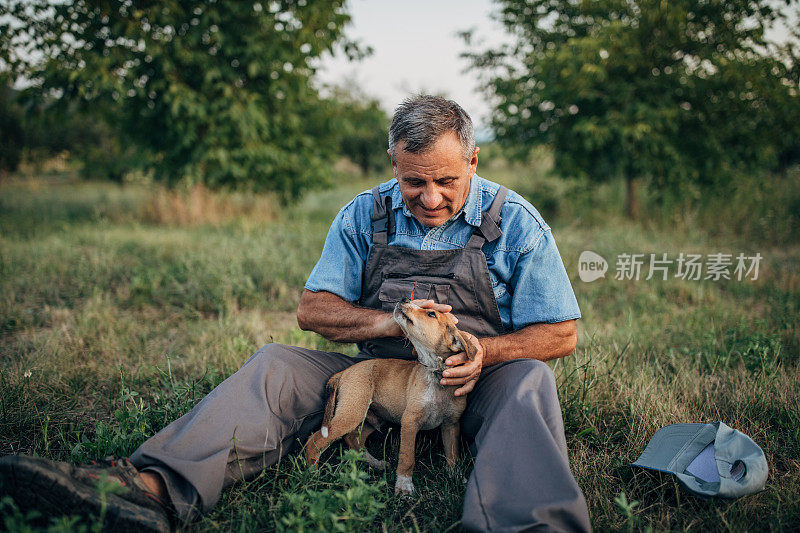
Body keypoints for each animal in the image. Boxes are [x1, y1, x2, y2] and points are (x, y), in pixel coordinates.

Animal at [306, 300, 476, 494]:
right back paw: (312, 476)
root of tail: (344, 372)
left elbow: (453, 454)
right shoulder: (410, 421)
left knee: (354, 439)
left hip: (374, 417)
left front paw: (456, 477)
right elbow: (407, 456)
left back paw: (374, 463)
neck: (436, 375)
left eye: (431, 314)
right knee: (315, 441)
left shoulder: (451, 424)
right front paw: (404, 485)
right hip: (352, 412)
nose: (404, 299)